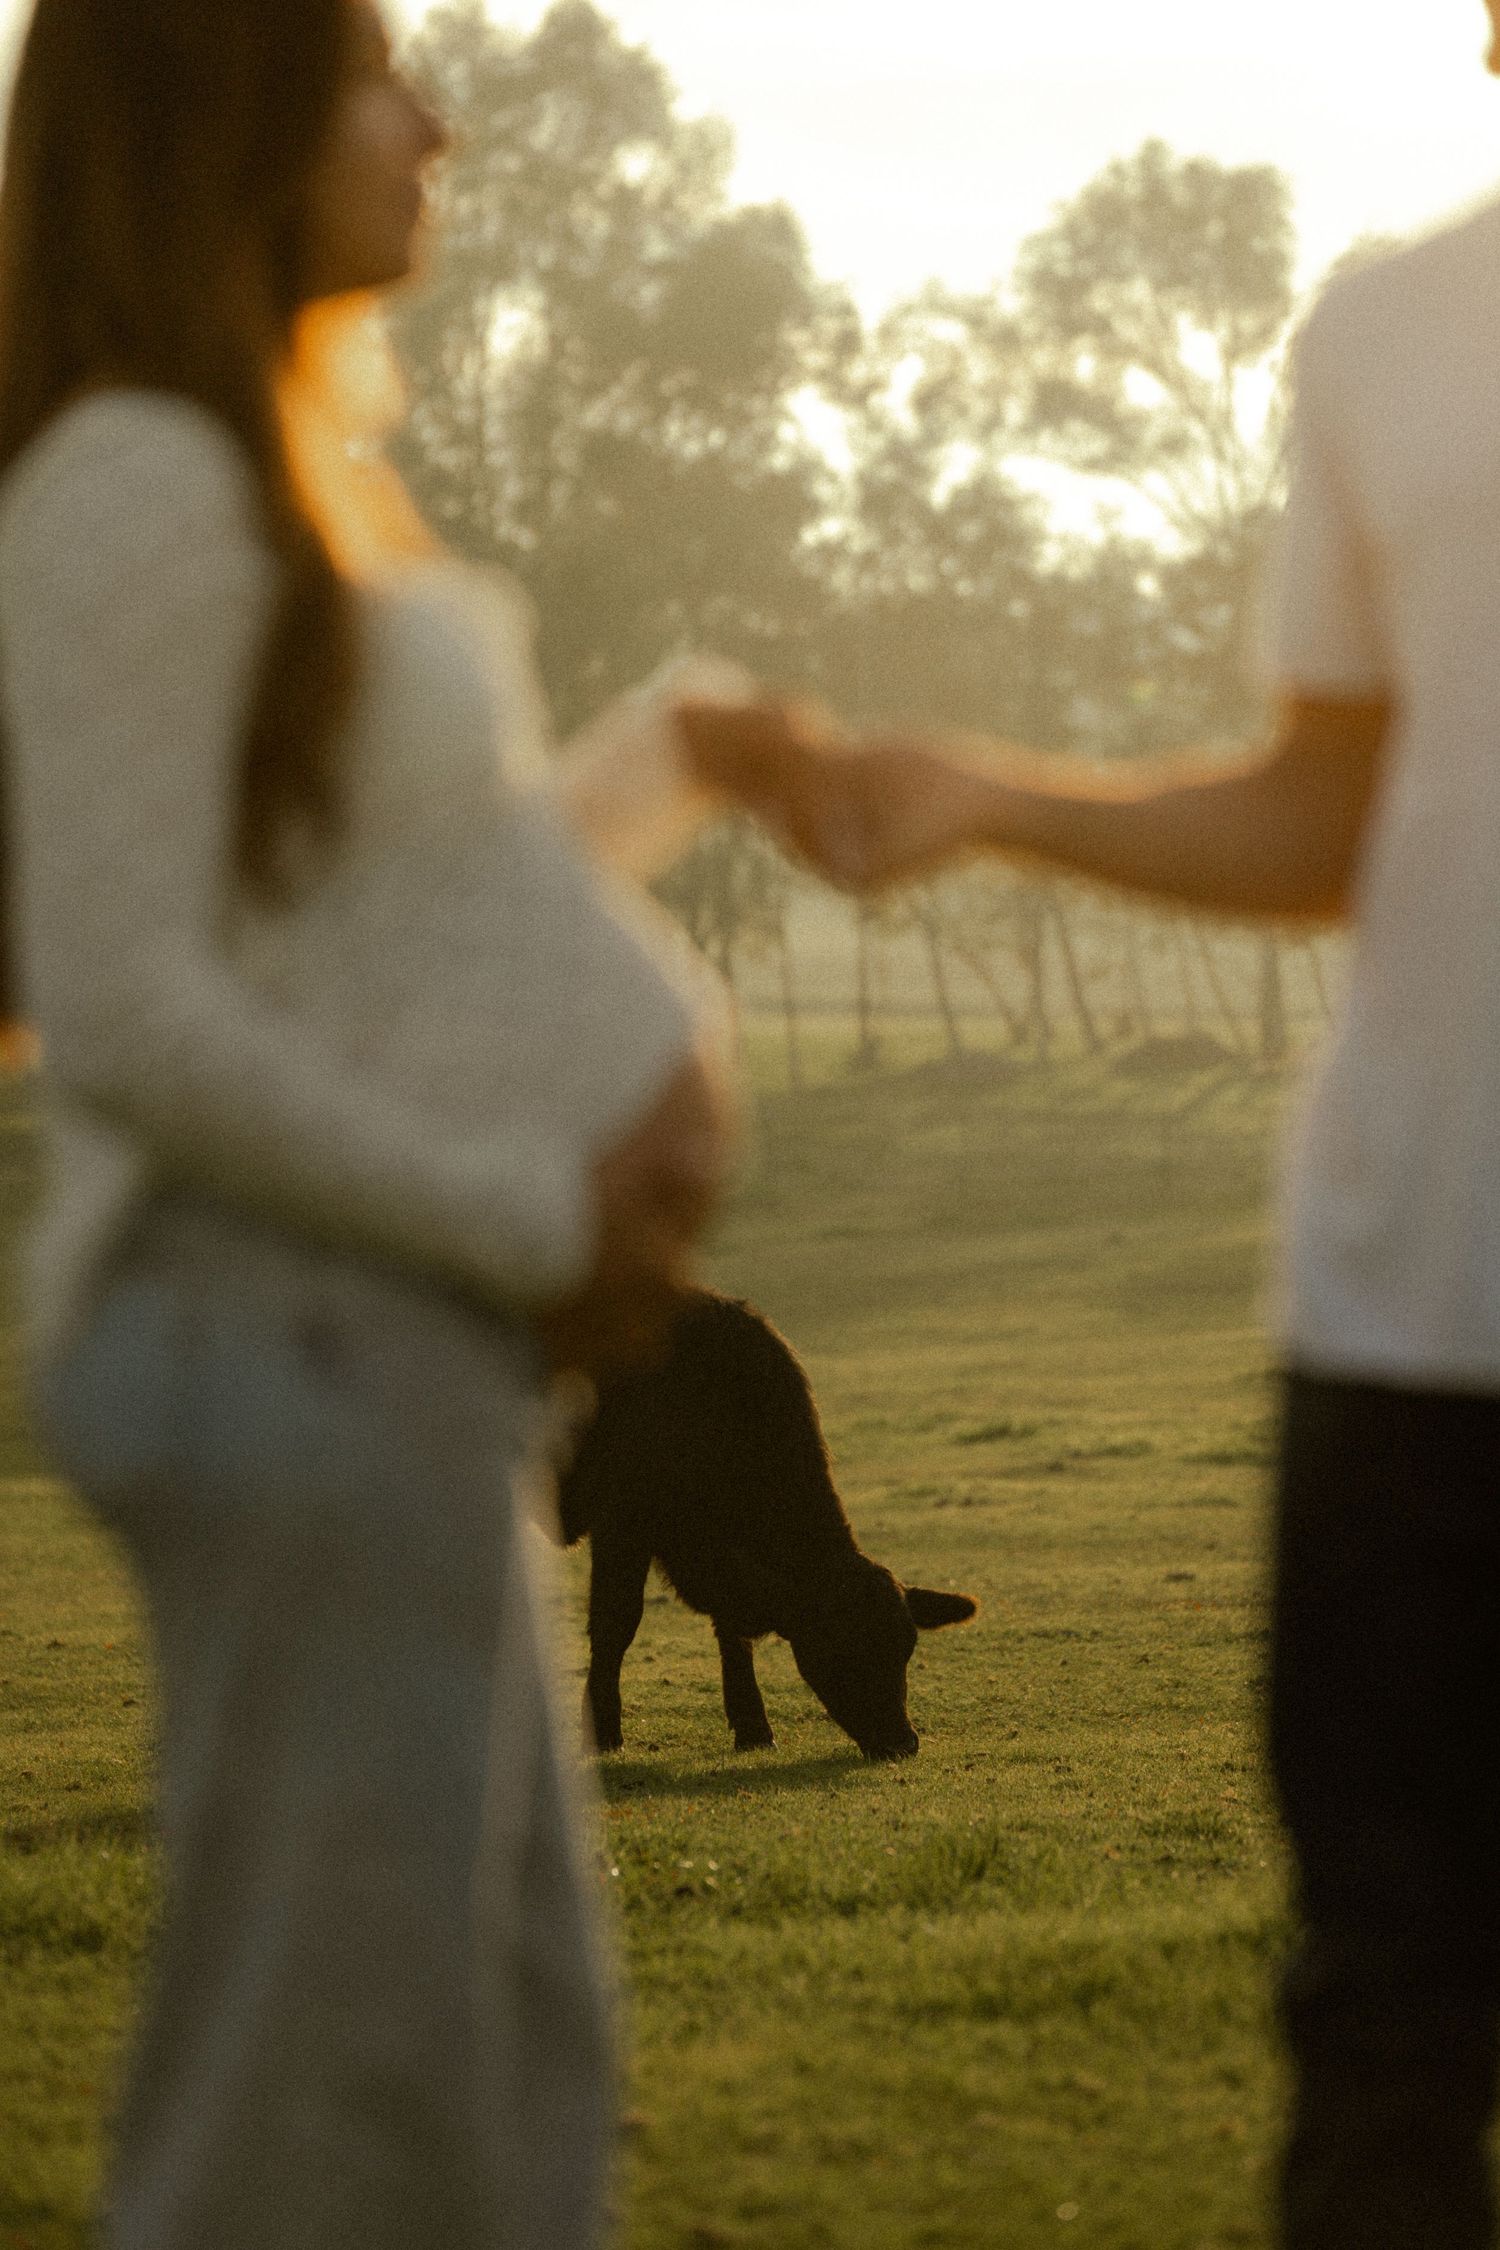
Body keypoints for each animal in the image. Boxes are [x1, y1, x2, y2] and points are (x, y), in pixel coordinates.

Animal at [556, 1291, 978, 1760]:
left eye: (907, 1647)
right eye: (842, 1647)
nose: (903, 1742)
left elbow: (732, 1631)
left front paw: (753, 1728)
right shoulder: (621, 1524)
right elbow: (616, 1623)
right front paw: (604, 1733)